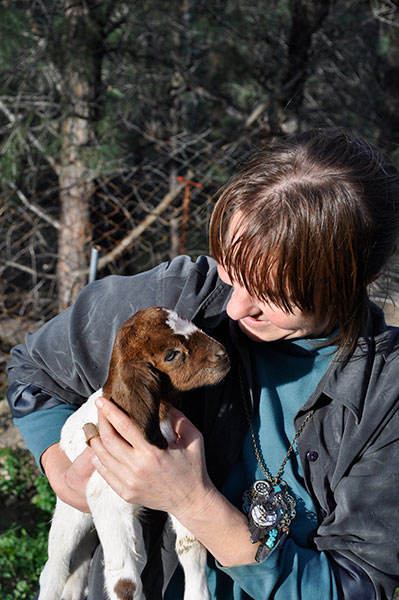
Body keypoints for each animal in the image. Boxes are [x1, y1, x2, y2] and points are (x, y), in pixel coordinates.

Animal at [38, 308, 231, 600]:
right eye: (171, 354)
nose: (223, 354)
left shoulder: (179, 495)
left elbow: (190, 545)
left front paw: (198, 595)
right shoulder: (104, 497)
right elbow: (124, 584)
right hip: (71, 511)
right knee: (55, 567)